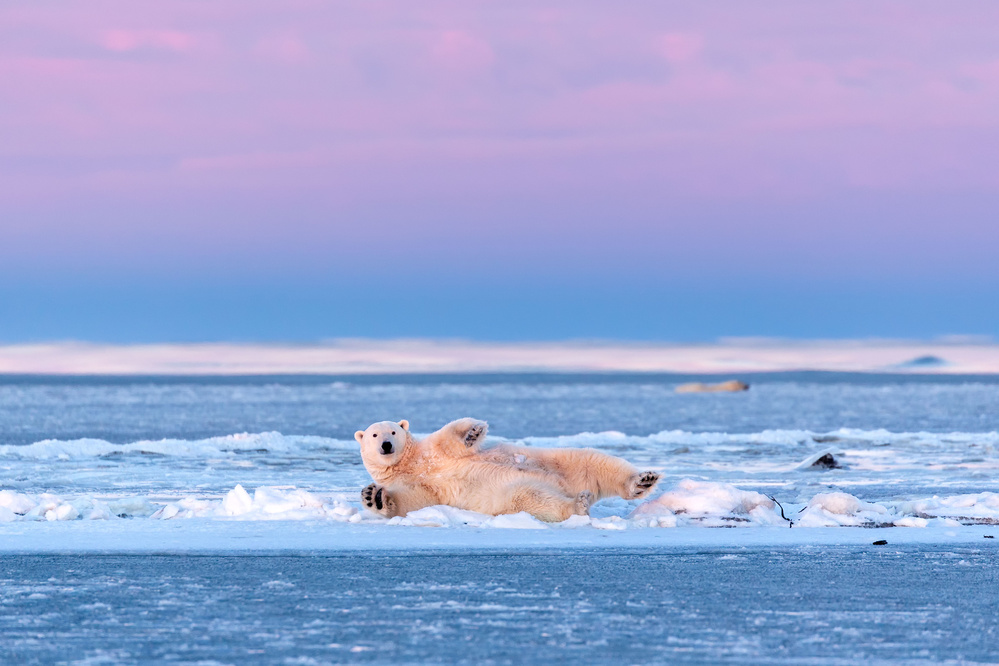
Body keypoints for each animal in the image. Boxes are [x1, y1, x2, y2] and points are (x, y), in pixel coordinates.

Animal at [355, 418, 661, 523]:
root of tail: (564, 485)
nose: (386, 445)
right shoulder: (421, 485)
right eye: (374, 435)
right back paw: (579, 504)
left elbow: (449, 438)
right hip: (517, 489)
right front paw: (374, 497)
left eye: (393, 431)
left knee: (593, 460)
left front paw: (473, 431)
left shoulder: (431, 453)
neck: (409, 464)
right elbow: (409, 502)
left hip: (560, 463)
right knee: (533, 497)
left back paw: (642, 480)